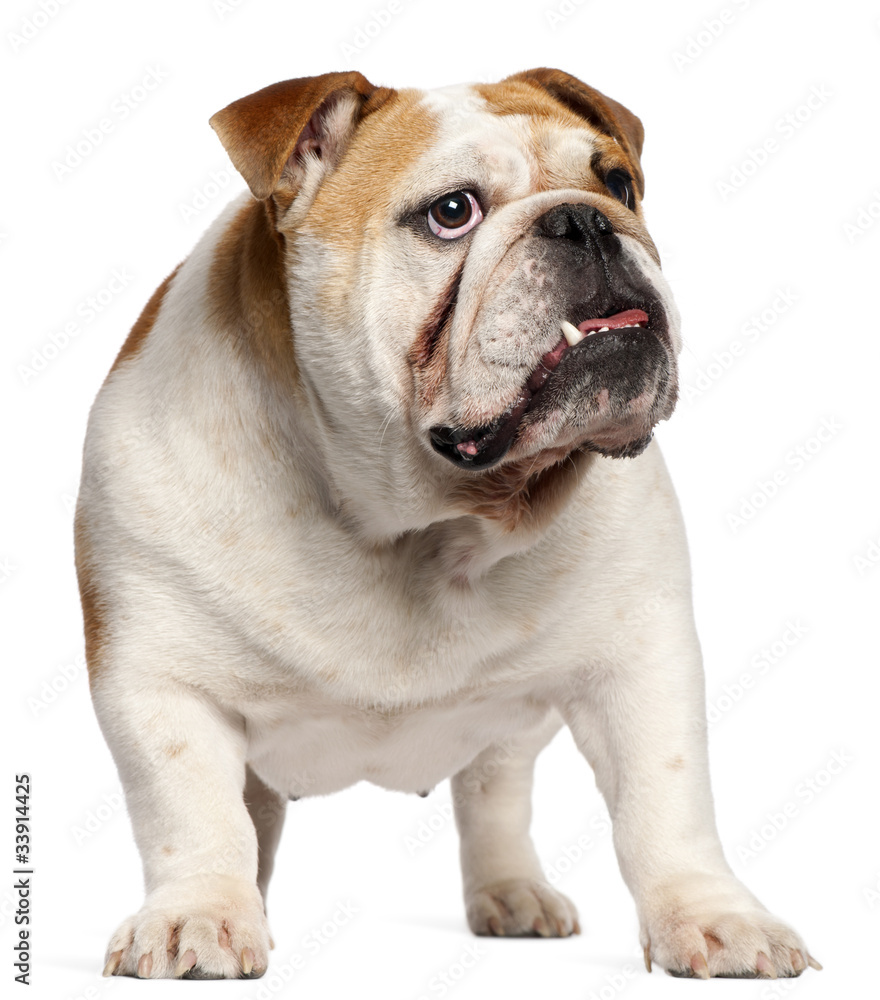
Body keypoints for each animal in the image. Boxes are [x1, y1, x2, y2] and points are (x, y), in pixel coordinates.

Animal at [74, 70, 820, 984]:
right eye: (453, 212)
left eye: (619, 184)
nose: (585, 221)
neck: (419, 521)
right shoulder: (157, 682)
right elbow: (192, 813)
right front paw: (200, 917)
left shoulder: (643, 662)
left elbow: (666, 801)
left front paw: (714, 917)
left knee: (496, 793)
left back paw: (514, 893)